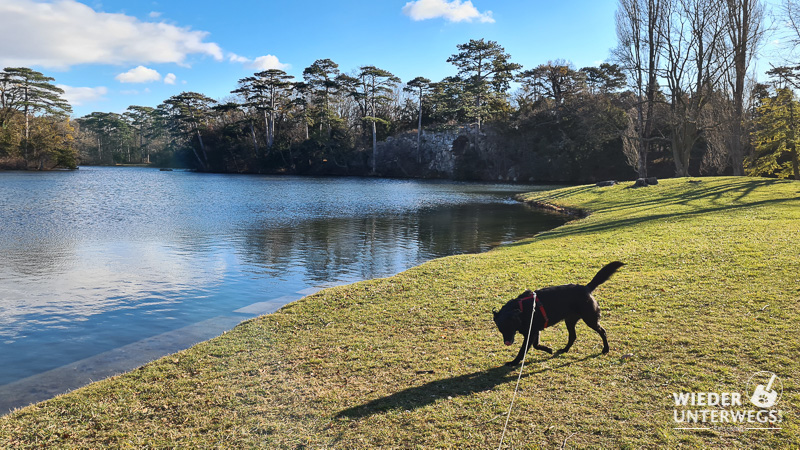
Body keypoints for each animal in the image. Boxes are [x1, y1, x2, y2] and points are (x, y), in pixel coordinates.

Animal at [494, 264, 624, 366]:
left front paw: (514, 362)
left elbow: (523, 350)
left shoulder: (531, 333)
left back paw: (606, 349)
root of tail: (586, 288)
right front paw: (548, 350)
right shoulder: (535, 331)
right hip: (570, 321)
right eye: (501, 329)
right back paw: (565, 349)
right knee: (573, 336)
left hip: (590, 319)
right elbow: (536, 345)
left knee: (602, 332)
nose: (507, 342)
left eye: (510, 327)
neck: (521, 310)